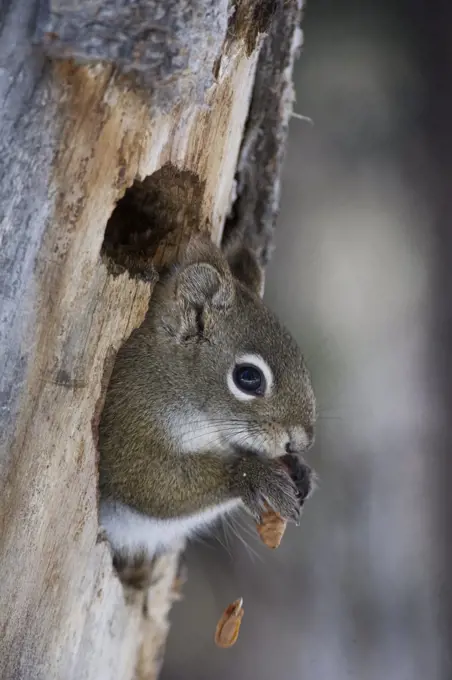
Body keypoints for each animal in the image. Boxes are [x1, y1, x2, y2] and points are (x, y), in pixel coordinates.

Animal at [97, 236, 316, 564]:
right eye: (248, 377)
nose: (301, 442)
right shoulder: (127, 428)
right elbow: (152, 487)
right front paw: (254, 476)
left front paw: (300, 470)